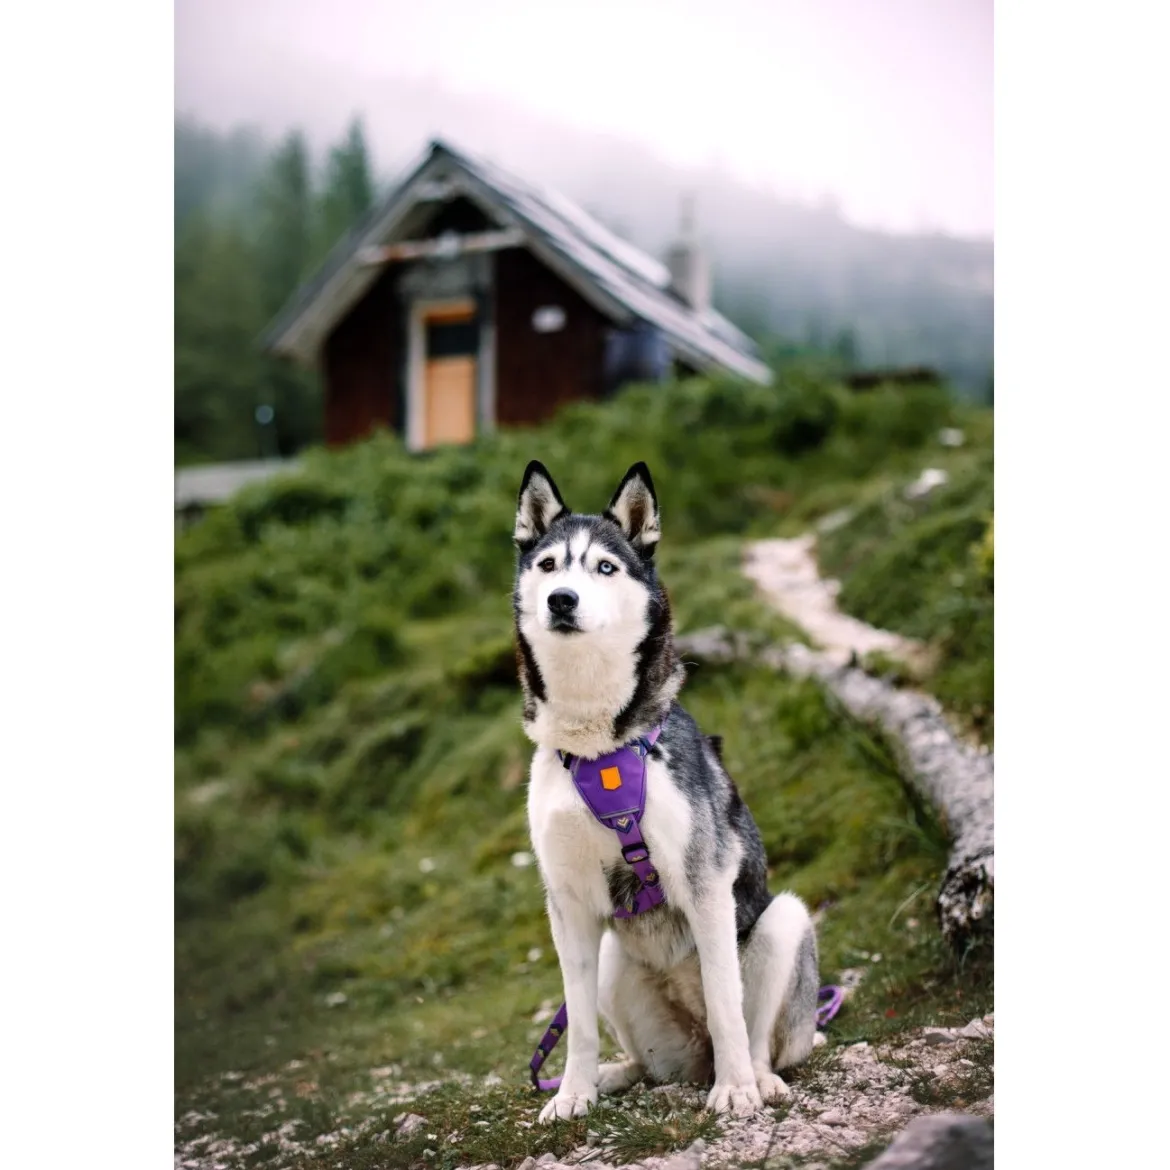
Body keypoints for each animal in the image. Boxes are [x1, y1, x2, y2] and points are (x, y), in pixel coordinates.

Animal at [513, 460, 821, 1122]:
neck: (600, 747)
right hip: (615, 967)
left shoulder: (706, 885)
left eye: (605, 566)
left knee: (753, 1036)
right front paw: (572, 1094)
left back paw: (755, 1079)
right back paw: (615, 1074)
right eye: (548, 565)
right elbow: (576, 1025)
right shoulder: (568, 903)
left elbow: (727, 1004)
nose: (561, 600)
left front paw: (735, 1092)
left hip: (783, 922)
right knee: (649, 1063)